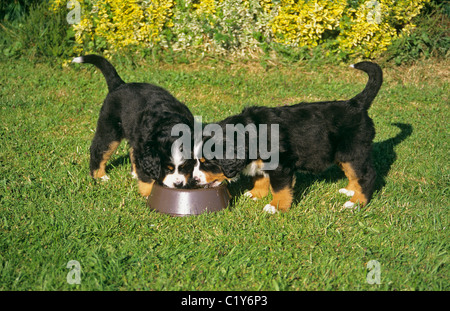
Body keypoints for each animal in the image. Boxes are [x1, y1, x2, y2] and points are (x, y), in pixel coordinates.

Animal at [73, 54, 194, 196]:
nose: (178, 184)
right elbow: (147, 177)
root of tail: (120, 84)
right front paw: (148, 195)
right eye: (167, 169)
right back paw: (100, 176)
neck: (170, 125)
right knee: (98, 150)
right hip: (110, 130)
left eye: (185, 167)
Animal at [193, 63, 384, 214]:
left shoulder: (280, 165)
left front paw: (275, 207)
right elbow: (260, 177)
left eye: (207, 163)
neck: (249, 133)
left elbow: (280, 188)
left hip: (353, 151)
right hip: (343, 154)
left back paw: (355, 203)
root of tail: (356, 104)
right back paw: (350, 191)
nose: (194, 179)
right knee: (354, 174)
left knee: (367, 175)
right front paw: (255, 194)